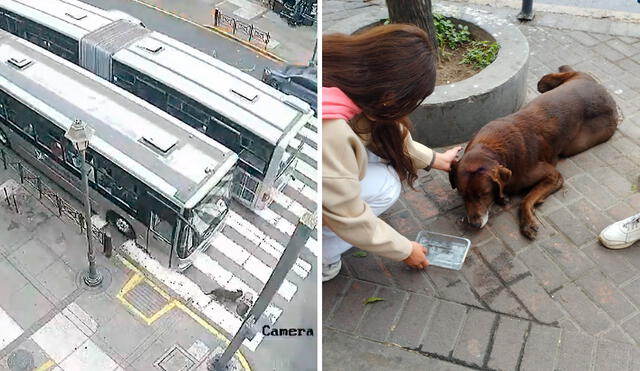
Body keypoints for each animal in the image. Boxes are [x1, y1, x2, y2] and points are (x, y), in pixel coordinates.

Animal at [448, 65, 616, 240]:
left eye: (484, 194)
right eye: (462, 194)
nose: (474, 224)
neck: (490, 148)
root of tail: (602, 90)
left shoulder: (553, 175)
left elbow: (526, 199)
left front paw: (527, 222)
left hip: (580, 142)